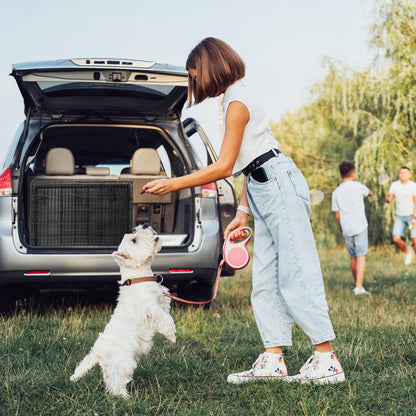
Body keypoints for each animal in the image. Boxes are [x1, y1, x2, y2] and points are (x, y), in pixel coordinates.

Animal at [69, 224, 176, 396]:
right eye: (134, 240)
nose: (145, 225)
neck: (139, 277)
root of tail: (98, 351)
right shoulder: (150, 309)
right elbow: (166, 319)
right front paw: (172, 336)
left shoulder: (161, 300)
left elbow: (166, 312)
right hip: (123, 363)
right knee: (115, 383)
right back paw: (124, 397)